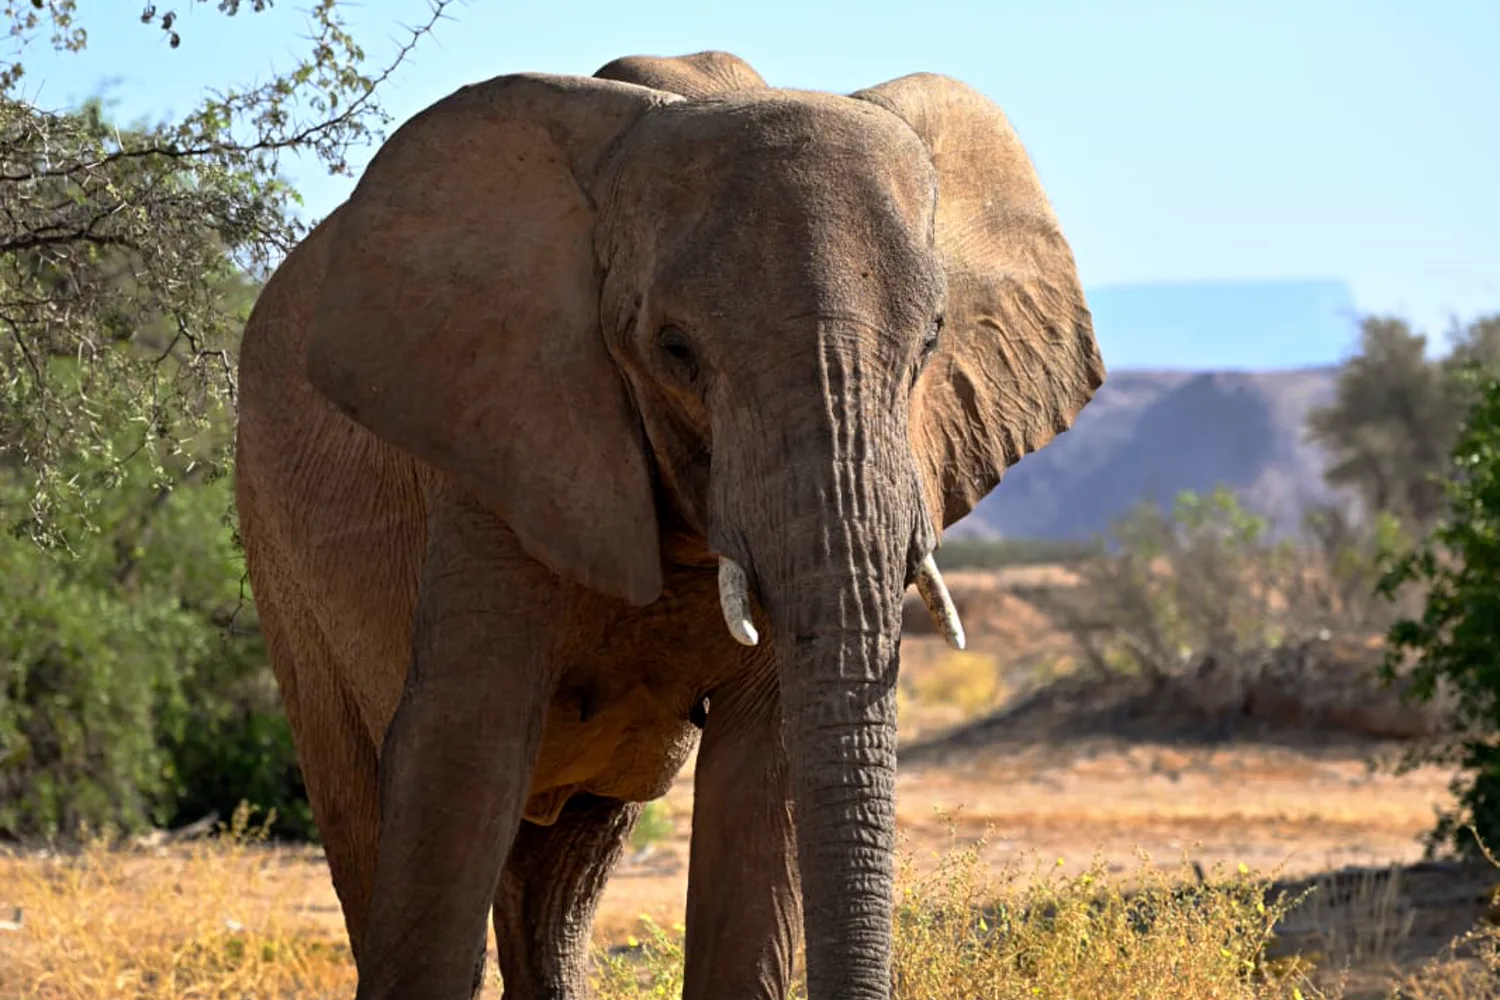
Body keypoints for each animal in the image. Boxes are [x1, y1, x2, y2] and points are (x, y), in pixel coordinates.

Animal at [233, 49, 1104, 1000]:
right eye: (675, 351)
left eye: (932, 342)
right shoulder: (497, 438)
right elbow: (461, 751)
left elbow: (761, 781)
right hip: (274, 548)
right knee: (366, 807)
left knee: (557, 880)